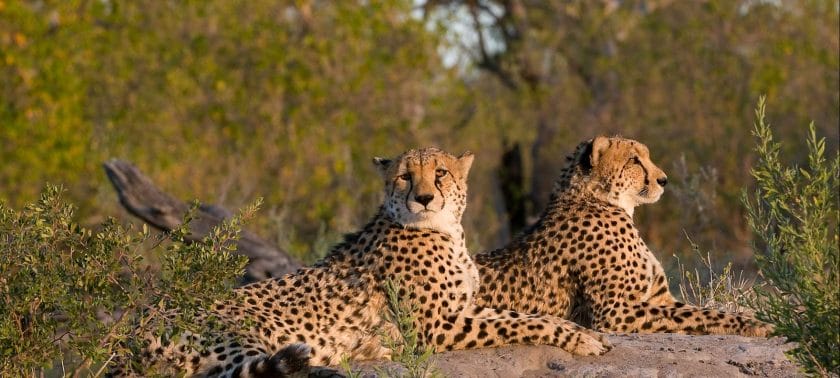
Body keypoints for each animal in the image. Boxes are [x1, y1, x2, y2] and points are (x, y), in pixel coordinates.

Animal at [111, 148, 612, 378]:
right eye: (405, 176)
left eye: (440, 173)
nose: (423, 197)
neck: (445, 229)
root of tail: (134, 326)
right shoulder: (435, 329)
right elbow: (524, 322)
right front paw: (583, 340)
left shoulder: (463, 309)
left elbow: (521, 313)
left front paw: (586, 333)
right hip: (244, 333)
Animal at [472, 137, 776, 336]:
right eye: (634, 161)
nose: (664, 180)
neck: (601, 200)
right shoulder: (615, 311)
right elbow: (696, 315)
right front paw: (757, 325)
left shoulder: (659, 299)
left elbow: (698, 311)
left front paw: (754, 320)